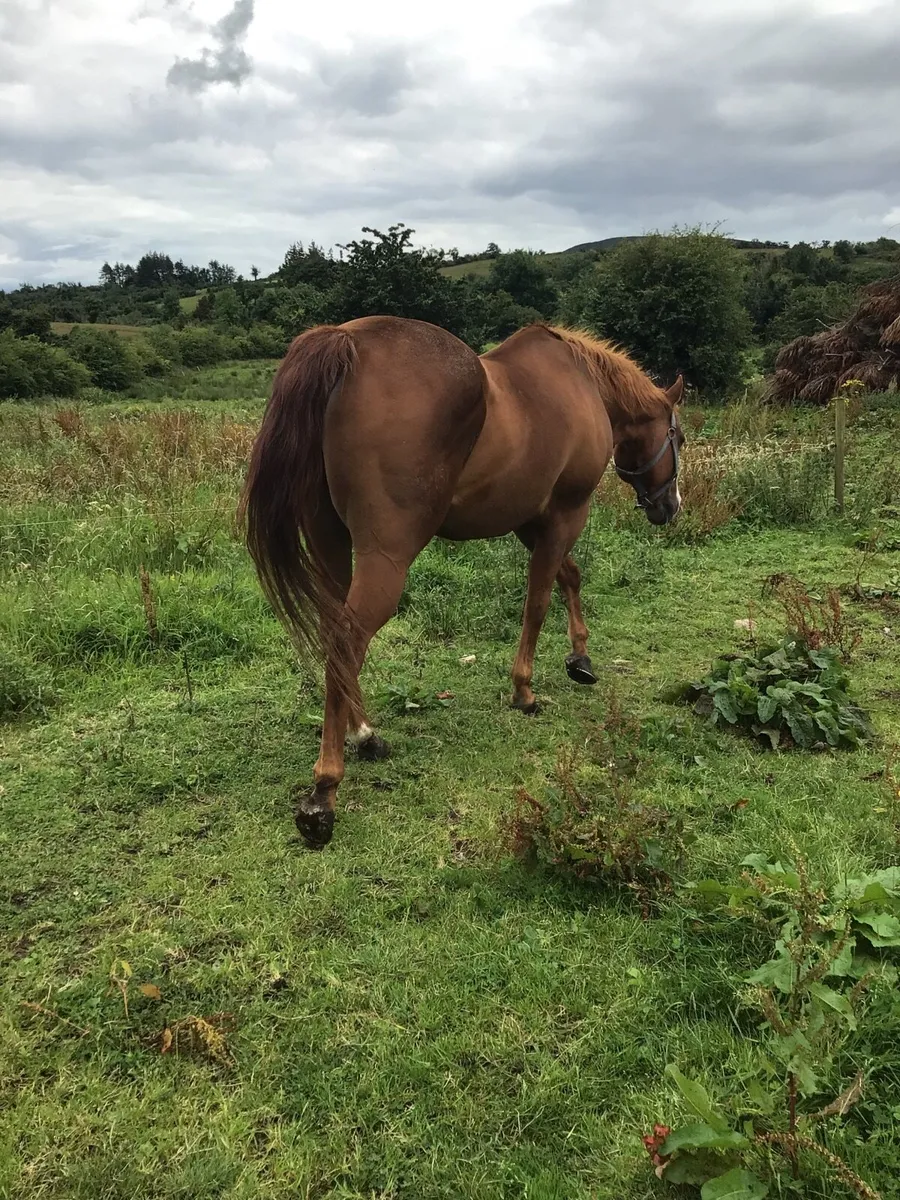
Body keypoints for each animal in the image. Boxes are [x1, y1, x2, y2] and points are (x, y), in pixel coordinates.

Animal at [240, 316, 685, 848]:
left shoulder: (531, 522)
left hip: (332, 547)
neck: (582, 384)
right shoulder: (565, 515)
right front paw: (525, 690)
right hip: (385, 558)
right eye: (679, 438)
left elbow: (568, 578)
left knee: (336, 637)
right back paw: (324, 792)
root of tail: (345, 341)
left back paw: (365, 734)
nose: (671, 505)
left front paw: (580, 656)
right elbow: (538, 601)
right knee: (349, 641)